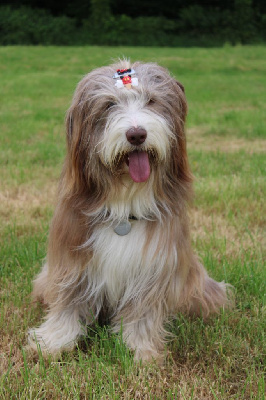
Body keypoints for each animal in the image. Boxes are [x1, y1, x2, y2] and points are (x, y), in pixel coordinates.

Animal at [28, 60, 230, 362]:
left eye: (152, 101)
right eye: (109, 105)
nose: (137, 134)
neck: (124, 208)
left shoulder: (154, 266)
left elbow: (142, 312)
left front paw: (141, 350)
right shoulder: (73, 259)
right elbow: (68, 304)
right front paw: (52, 342)